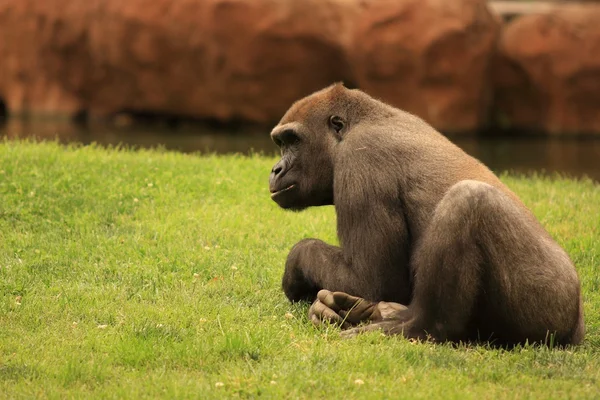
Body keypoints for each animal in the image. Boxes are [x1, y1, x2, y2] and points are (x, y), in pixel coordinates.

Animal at [270, 84, 584, 346]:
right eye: (281, 143)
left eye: (293, 140)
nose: (275, 169)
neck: (361, 121)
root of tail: (578, 326)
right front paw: (328, 308)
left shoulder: (361, 160)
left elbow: (370, 280)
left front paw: (298, 264)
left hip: (552, 303)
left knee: (468, 200)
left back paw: (417, 327)